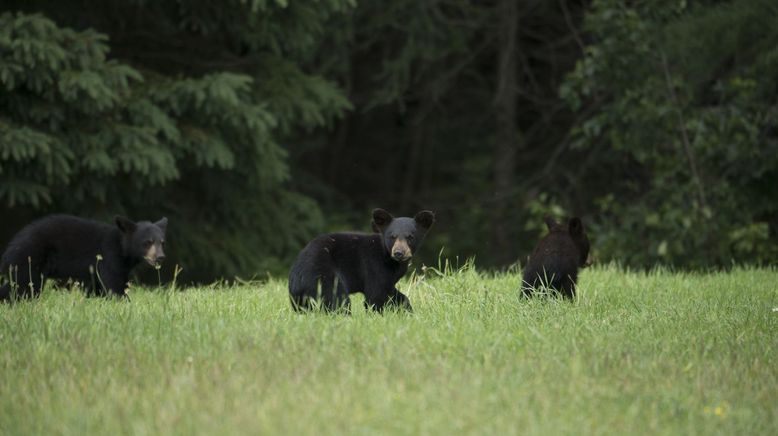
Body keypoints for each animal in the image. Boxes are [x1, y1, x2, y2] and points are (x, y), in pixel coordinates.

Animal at [0, 214, 165, 302]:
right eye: (148, 242)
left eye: (162, 242)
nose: (160, 257)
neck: (122, 247)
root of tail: (9, 249)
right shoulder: (109, 257)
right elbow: (114, 284)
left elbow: (97, 288)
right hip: (30, 258)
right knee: (25, 286)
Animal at [292, 209, 434, 314]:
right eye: (392, 236)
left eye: (410, 237)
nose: (398, 252)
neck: (388, 258)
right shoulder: (374, 266)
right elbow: (376, 294)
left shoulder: (388, 277)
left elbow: (394, 293)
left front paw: (408, 311)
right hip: (323, 274)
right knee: (337, 298)